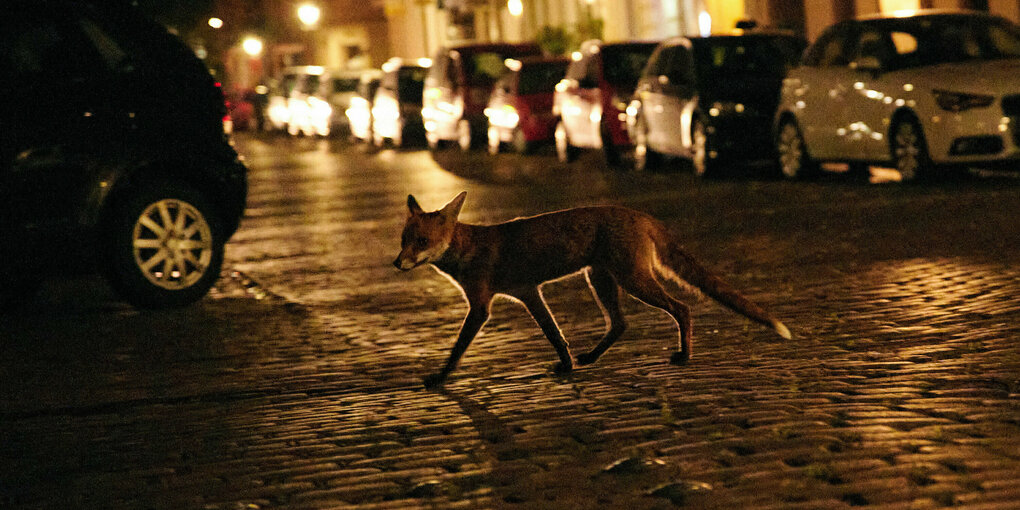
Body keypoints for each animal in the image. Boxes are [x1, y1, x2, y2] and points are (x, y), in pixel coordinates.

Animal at [393, 191, 791, 385]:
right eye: (403, 241)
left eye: (422, 241)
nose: (397, 264)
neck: (468, 248)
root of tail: (641, 215)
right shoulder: (528, 292)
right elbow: (554, 334)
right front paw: (568, 365)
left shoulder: (481, 307)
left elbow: (458, 348)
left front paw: (440, 377)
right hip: (600, 279)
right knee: (620, 324)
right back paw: (591, 358)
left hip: (633, 281)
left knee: (682, 308)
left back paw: (685, 355)